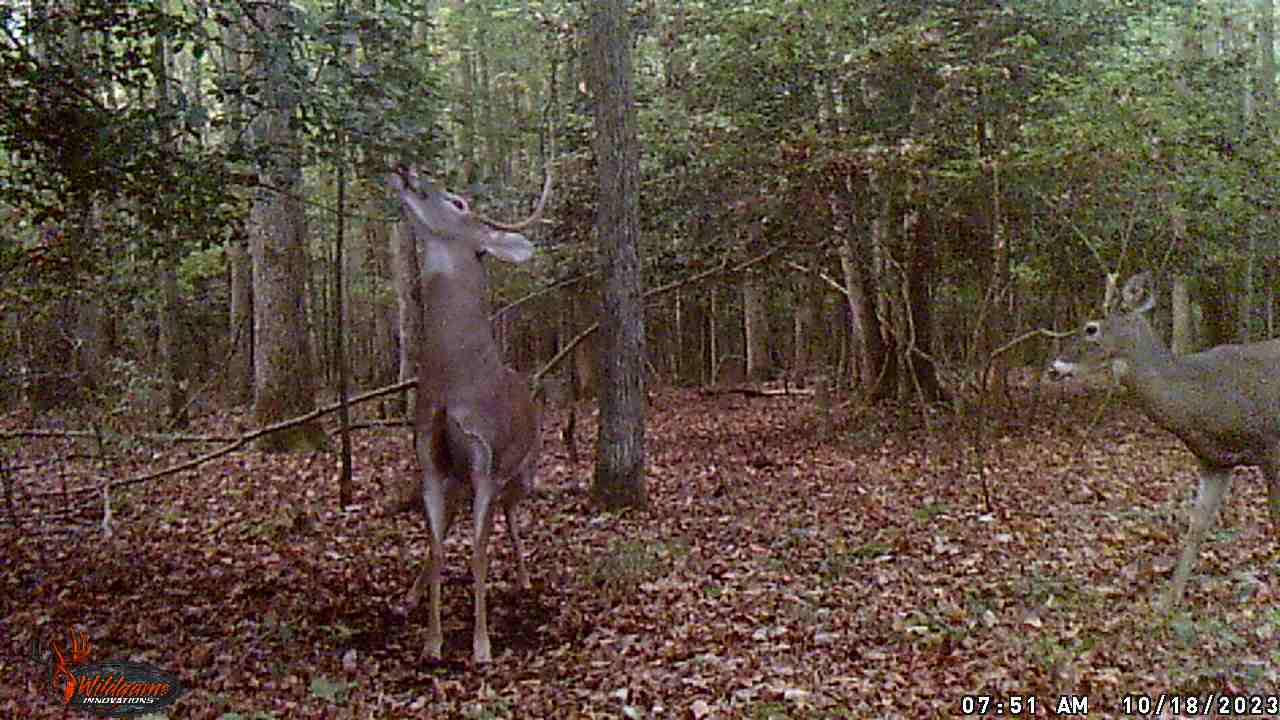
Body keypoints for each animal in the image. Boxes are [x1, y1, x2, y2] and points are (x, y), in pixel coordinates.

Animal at [384, 165, 545, 661]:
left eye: (458, 203)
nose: (405, 170)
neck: (457, 382)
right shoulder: (432, 462)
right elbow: (438, 547)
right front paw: (432, 643)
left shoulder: (485, 463)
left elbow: (478, 551)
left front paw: (481, 645)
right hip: (458, 480)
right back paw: (408, 597)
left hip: (522, 471)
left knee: (512, 515)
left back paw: (525, 578)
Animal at [1049, 271, 1280, 607]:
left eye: (1091, 328)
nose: (1053, 367)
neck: (1205, 394)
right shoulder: (1215, 460)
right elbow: (1197, 525)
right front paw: (1167, 602)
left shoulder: (1272, 445)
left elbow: (1276, 519)